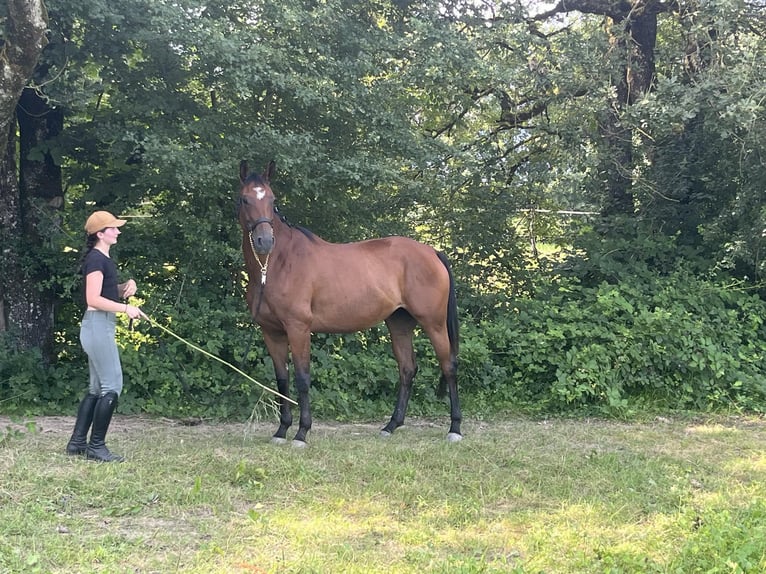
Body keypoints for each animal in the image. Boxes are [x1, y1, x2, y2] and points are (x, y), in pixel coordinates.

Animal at [237, 160, 462, 448]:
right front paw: (281, 431)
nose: (265, 241)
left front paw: (301, 433)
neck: (276, 265)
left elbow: (302, 379)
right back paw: (390, 426)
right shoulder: (272, 332)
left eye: (272, 199)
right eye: (245, 199)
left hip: (433, 323)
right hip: (399, 323)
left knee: (448, 365)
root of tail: (432, 251)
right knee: (407, 369)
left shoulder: (298, 328)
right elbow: (282, 380)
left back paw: (455, 428)